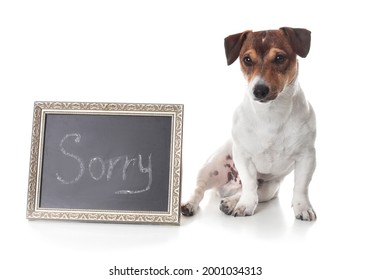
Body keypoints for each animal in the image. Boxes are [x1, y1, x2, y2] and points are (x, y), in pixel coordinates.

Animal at [182, 27, 316, 222]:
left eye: (279, 58)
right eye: (247, 59)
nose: (259, 90)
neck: (270, 113)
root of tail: (228, 187)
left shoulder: (307, 156)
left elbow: (301, 186)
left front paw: (303, 207)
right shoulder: (243, 156)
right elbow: (250, 184)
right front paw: (245, 205)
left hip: (269, 188)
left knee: (252, 192)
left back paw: (230, 202)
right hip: (211, 167)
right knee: (200, 189)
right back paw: (191, 204)